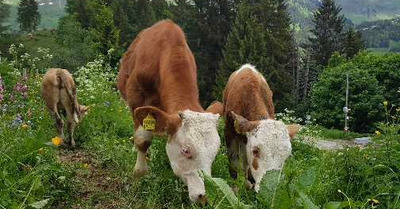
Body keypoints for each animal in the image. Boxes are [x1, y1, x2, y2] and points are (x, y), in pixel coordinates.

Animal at [115, 19, 222, 202]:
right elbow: (142, 140)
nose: (205, 197)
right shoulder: (137, 100)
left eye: (214, 153)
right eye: (186, 150)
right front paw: (139, 176)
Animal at [222, 64, 300, 192]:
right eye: (255, 151)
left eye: (287, 156)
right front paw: (235, 188)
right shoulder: (229, 132)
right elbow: (234, 164)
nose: (270, 188)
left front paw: (249, 184)